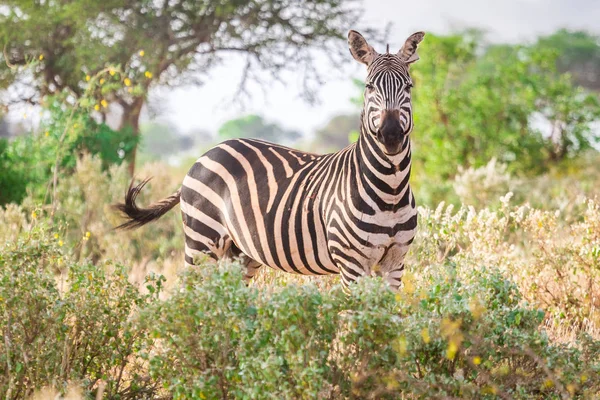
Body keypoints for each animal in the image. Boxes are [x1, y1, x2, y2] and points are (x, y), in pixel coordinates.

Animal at [116, 29, 422, 290]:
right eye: (369, 87)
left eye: (408, 86)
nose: (391, 135)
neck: (391, 190)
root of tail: (207, 153)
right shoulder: (352, 265)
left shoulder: (395, 263)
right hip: (201, 240)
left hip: (240, 253)